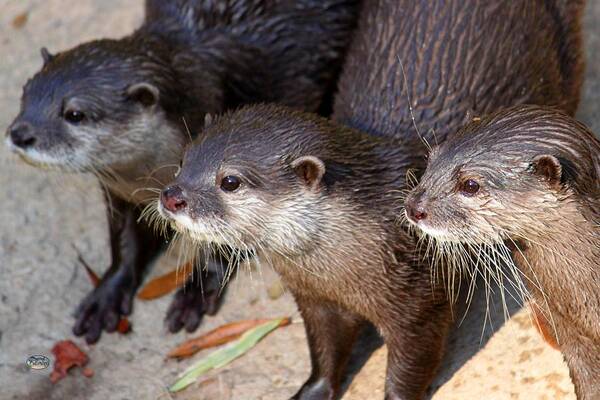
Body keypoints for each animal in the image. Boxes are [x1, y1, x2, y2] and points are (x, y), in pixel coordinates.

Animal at [3, 0, 360, 344]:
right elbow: (123, 242)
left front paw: (194, 294)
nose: (20, 134)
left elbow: (222, 243)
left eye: (74, 114)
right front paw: (106, 295)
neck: (151, 174)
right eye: (25, 93)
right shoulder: (118, 192)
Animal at [157, 104, 452, 400]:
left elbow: (410, 367)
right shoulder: (316, 301)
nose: (171, 196)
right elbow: (325, 352)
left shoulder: (418, 303)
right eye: (182, 161)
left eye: (230, 181)